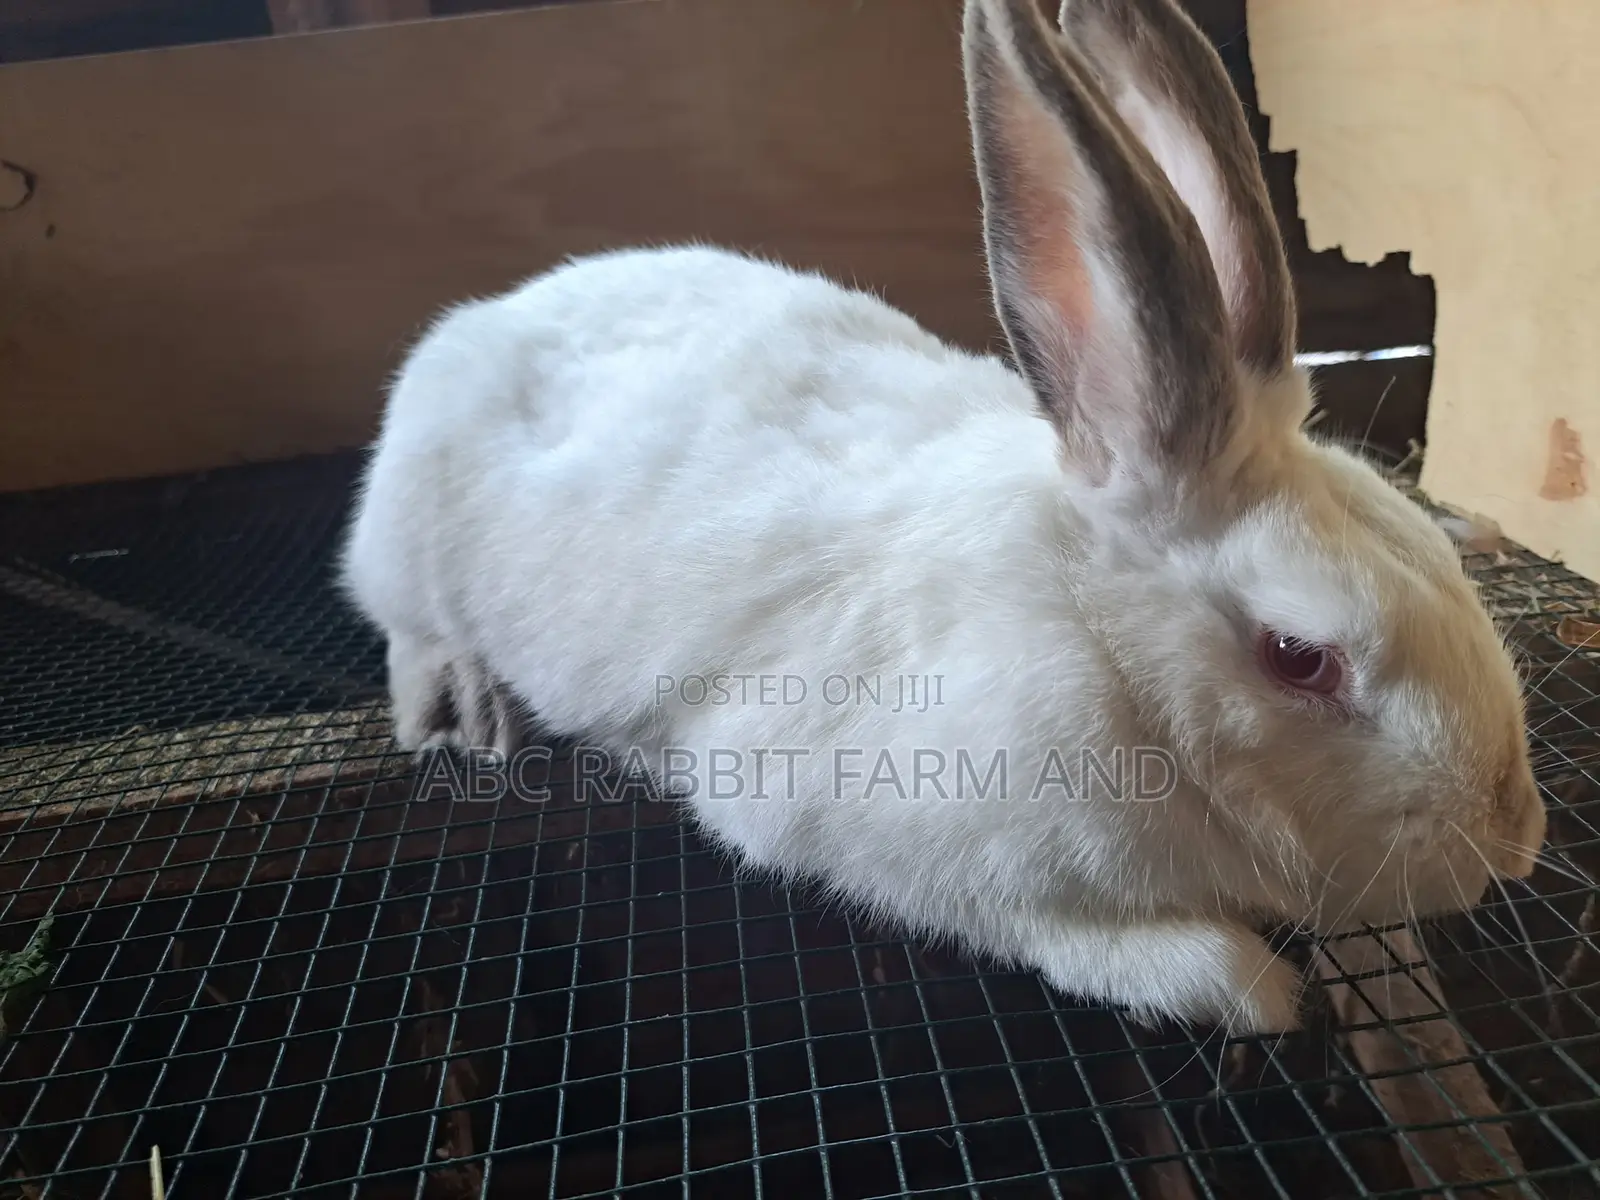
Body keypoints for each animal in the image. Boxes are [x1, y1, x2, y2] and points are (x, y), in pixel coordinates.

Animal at [339, 0, 1548, 1035]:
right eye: (1300, 658)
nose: (1516, 841)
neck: (1105, 647)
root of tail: (486, 317)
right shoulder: (899, 841)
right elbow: (1067, 934)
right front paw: (1232, 982)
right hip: (407, 546)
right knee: (407, 625)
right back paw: (462, 709)